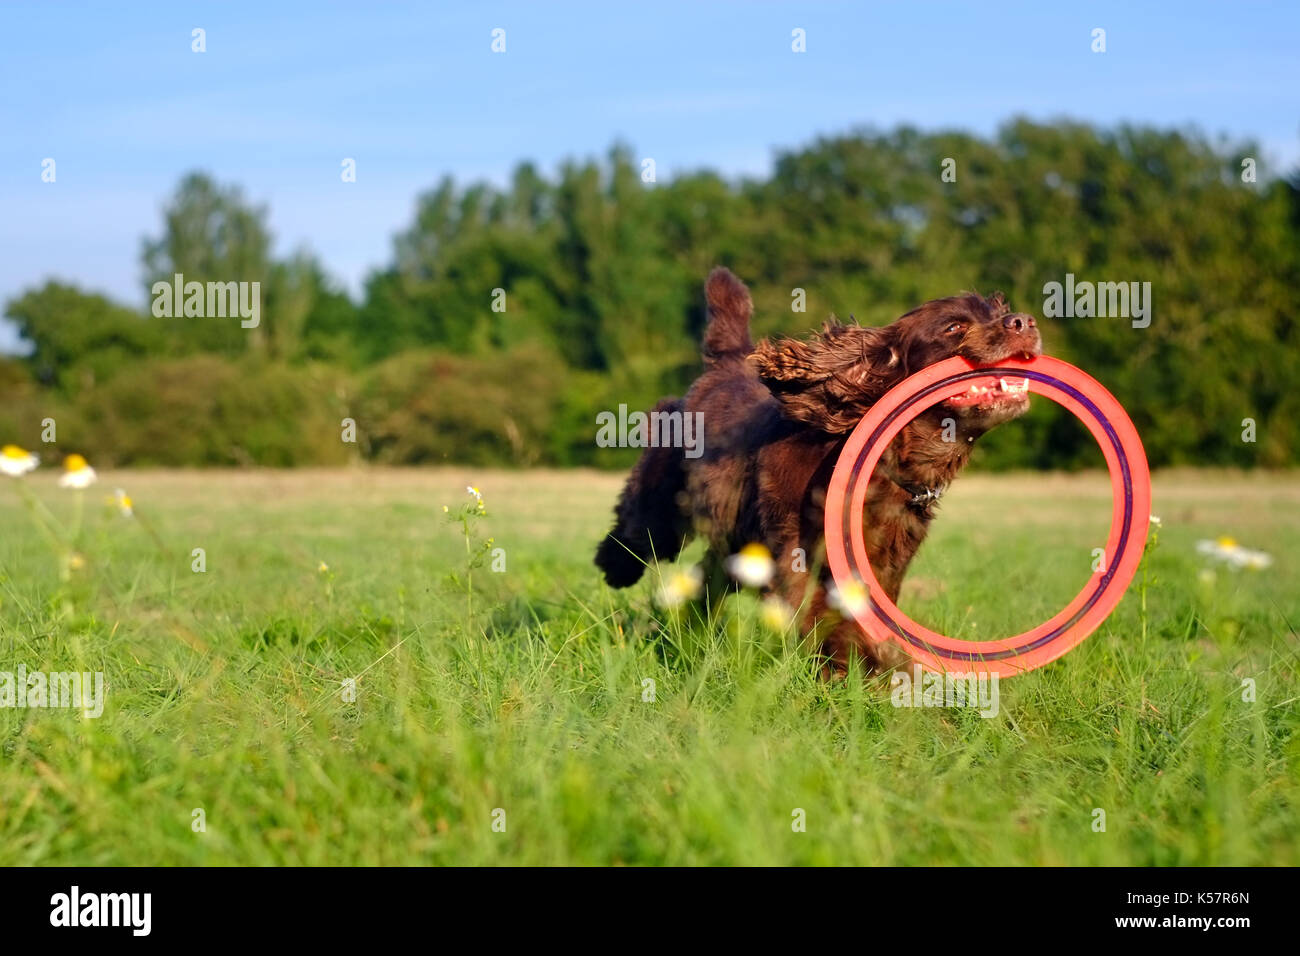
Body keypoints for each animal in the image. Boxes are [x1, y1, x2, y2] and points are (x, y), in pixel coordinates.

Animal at [595, 269, 1040, 671]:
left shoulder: (885, 563)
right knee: (641, 527)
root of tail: (728, 362)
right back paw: (617, 568)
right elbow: (805, 610)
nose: (1025, 321)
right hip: (666, 492)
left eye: (998, 311)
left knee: (710, 576)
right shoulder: (797, 551)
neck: (889, 464)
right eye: (954, 326)